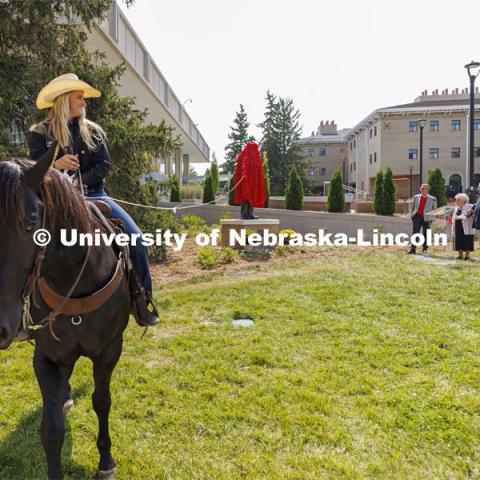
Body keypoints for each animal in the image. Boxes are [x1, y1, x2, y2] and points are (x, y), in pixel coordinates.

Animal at [0, 151, 131, 480]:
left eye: (31, 222)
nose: (1, 328)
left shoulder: (110, 351)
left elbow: (102, 401)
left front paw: (106, 461)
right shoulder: (47, 358)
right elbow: (51, 430)